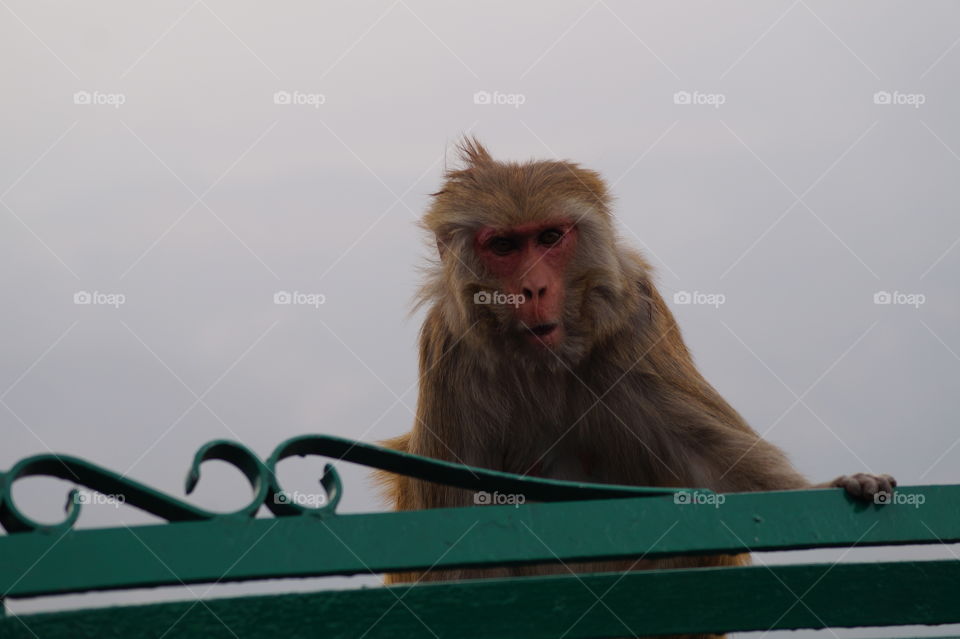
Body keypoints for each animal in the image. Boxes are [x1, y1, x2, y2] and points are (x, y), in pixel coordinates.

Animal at [375, 138, 895, 598]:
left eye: (549, 238)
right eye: (503, 246)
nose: (532, 289)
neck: (546, 363)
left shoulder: (633, 332)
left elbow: (715, 467)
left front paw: (843, 483)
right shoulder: (450, 355)